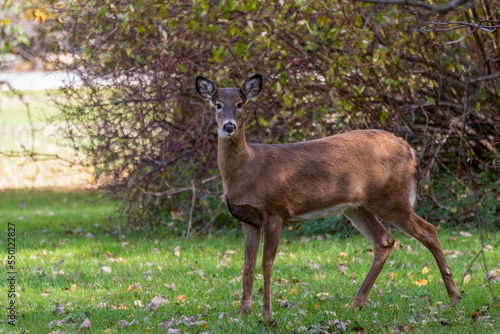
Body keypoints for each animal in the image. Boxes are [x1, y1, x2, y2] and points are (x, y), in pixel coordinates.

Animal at [194, 72, 460, 318]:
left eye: (240, 103)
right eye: (217, 104)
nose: (229, 126)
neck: (247, 170)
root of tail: (410, 149)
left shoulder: (275, 211)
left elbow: (266, 264)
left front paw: (267, 315)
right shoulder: (248, 220)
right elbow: (247, 267)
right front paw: (243, 315)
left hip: (391, 197)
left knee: (428, 230)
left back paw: (455, 297)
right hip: (357, 206)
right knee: (384, 241)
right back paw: (356, 304)